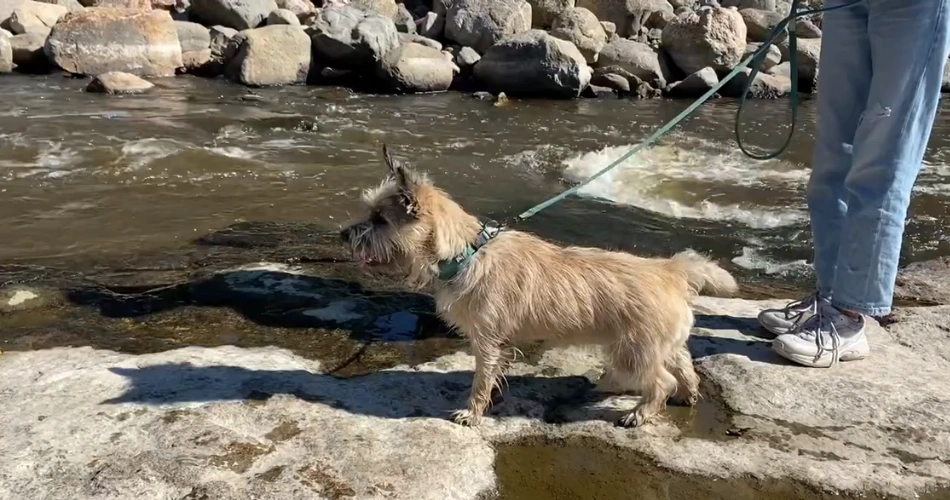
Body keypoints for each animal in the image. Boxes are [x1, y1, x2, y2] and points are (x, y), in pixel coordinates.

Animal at [342, 146, 744, 428]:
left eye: (379, 220)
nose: (344, 234)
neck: (466, 253)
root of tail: (670, 270)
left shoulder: (487, 342)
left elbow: (480, 380)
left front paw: (473, 413)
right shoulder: (498, 345)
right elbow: (494, 377)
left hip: (634, 352)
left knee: (661, 381)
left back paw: (640, 412)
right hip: (659, 344)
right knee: (684, 366)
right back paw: (687, 395)